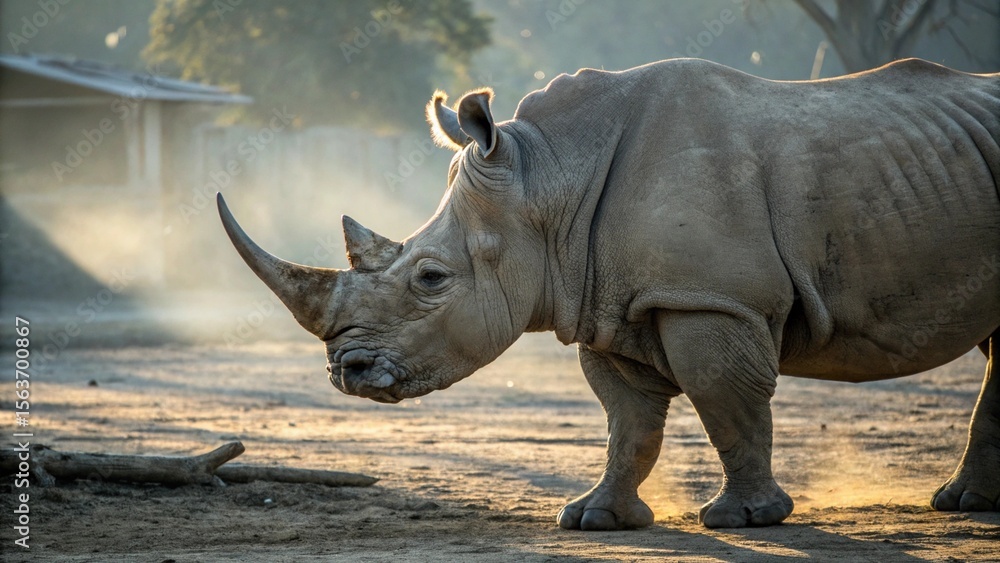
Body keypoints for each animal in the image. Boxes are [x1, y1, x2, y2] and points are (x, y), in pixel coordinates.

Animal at [217, 58, 1000, 530]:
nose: (345, 373)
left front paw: (745, 519)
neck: (548, 179)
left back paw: (958, 504)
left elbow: (726, 400)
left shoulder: (709, 296)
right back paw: (964, 505)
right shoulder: (610, 302)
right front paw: (594, 517)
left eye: (430, 278)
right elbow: (628, 419)